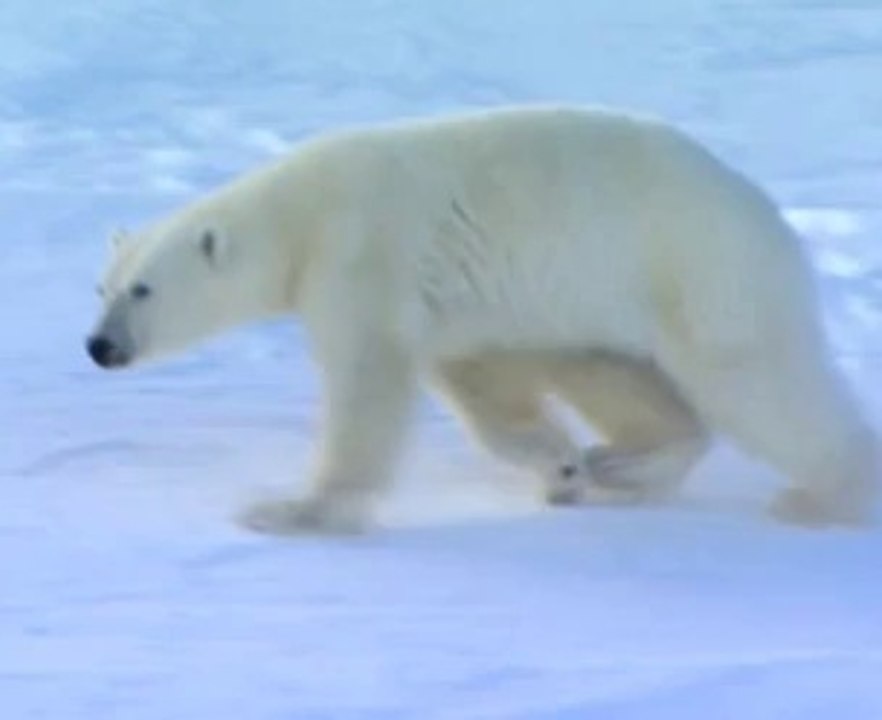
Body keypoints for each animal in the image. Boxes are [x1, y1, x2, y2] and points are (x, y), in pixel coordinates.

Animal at [86, 104, 879, 535]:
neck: (302, 214)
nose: (98, 346)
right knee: (615, 373)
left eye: (144, 290)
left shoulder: (362, 257)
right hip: (602, 294)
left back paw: (822, 496)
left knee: (759, 382)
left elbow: (368, 386)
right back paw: (619, 465)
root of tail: (771, 214)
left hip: (694, 271)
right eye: (102, 286)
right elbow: (487, 384)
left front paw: (290, 511)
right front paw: (559, 463)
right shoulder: (457, 309)